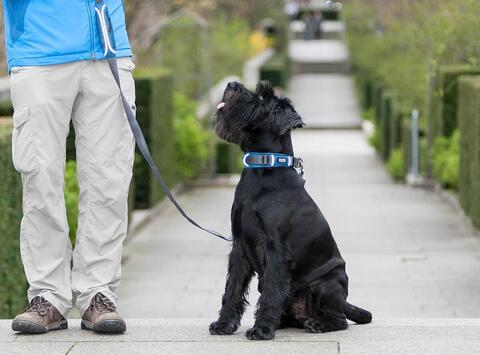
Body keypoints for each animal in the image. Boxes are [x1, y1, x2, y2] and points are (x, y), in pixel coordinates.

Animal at [209, 82, 372, 340]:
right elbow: (232, 288)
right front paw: (223, 324)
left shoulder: (276, 248)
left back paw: (318, 324)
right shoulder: (239, 247)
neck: (262, 170)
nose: (231, 84)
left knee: (340, 320)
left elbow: (272, 291)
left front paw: (261, 329)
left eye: (261, 98)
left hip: (327, 283)